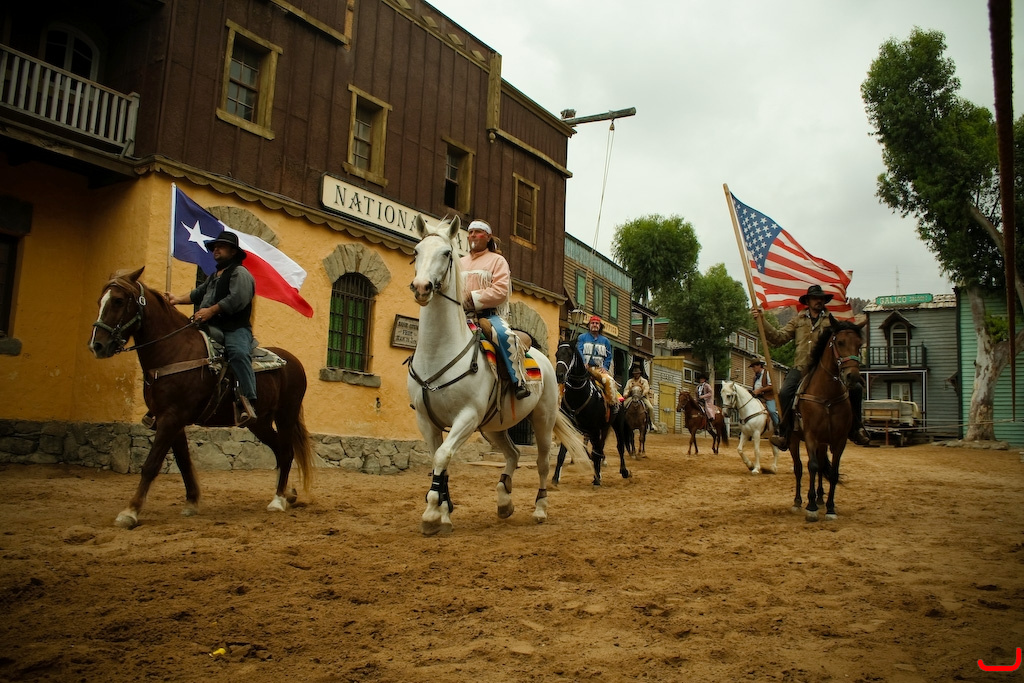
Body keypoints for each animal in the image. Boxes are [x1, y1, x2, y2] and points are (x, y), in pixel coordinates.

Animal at [88, 267, 314, 529]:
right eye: (99, 301)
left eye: (118, 300)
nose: (97, 346)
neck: (174, 351)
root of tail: (293, 361)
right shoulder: (170, 420)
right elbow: (184, 462)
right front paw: (192, 502)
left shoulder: (171, 418)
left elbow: (151, 464)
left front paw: (130, 511)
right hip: (259, 422)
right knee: (279, 450)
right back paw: (287, 494)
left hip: (286, 415)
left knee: (286, 452)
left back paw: (278, 500)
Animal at [407, 215, 587, 535]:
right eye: (416, 251)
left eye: (447, 253)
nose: (421, 287)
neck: (438, 352)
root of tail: (546, 362)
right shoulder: (426, 421)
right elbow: (438, 461)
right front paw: (444, 513)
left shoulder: (466, 417)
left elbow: (443, 456)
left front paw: (431, 514)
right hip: (493, 427)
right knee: (513, 454)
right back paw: (504, 501)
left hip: (542, 420)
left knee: (542, 463)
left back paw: (539, 509)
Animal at [551, 340, 629, 486]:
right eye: (557, 354)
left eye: (569, 354)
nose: (559, 375)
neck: (579, 395)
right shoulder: (570, 427)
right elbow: (562, 453)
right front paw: (555, 478)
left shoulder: (594, 429)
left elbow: (596, 453)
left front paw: (597, 478)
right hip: (602, 428)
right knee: (599, 448)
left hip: (617, 425)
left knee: (619, 446)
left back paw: (624, 471)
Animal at [787, 320, 865, 522]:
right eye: (840, 342)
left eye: (860, 344)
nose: (853, 376)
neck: (827, 396)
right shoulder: (811, 436)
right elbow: (811, 466)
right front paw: (811, 507)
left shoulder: (839, 440)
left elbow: (834, 472)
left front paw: (830, 508)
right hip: (794, 440)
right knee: (799, 468)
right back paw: (798, 502)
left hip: (823, 443)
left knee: (822, 467)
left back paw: (821, 498)